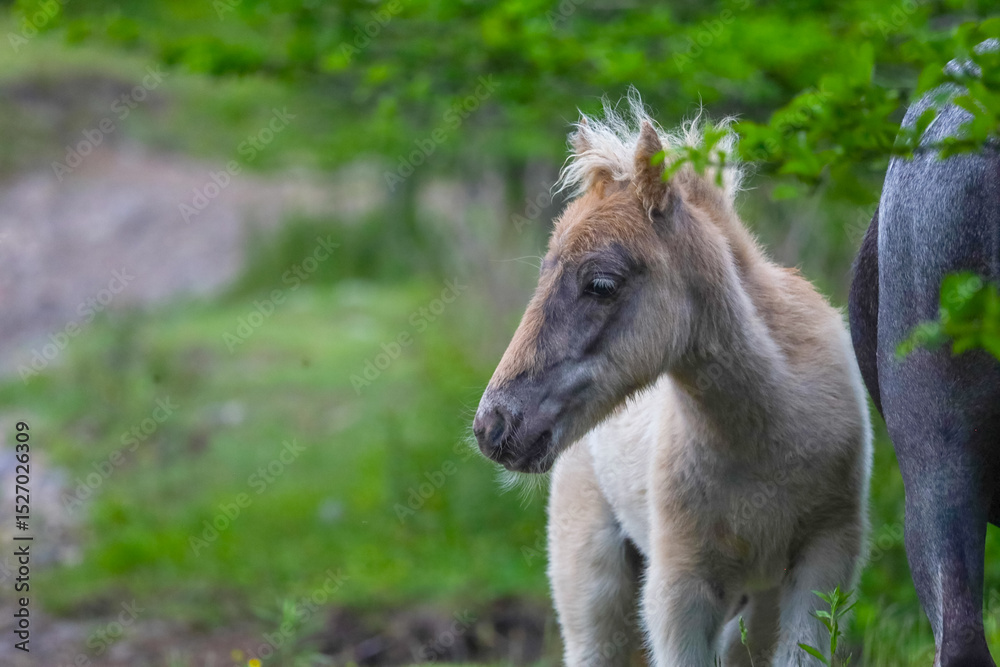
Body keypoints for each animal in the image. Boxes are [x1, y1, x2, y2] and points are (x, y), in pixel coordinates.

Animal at [473, 93, 873, 666]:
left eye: (601, 283)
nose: (494, 426)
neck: (769, 436)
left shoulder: (824, 561)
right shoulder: (679, 588)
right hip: (593, 589)